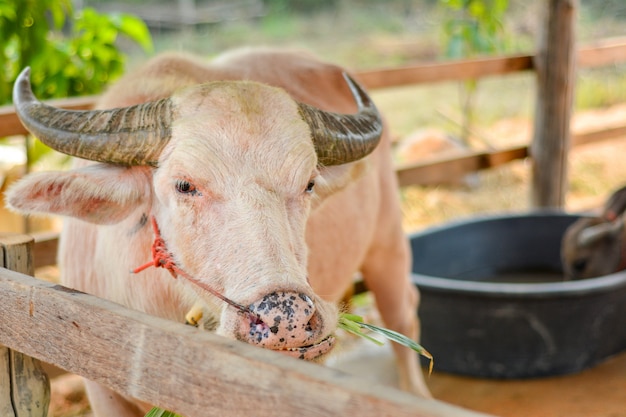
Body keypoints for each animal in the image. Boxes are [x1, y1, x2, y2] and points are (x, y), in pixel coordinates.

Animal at [6, 48, 428, 412]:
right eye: (184, 185)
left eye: (309, 183)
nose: (286, 321)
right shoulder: (100, 390)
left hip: (388, 245)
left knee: (402, 316)